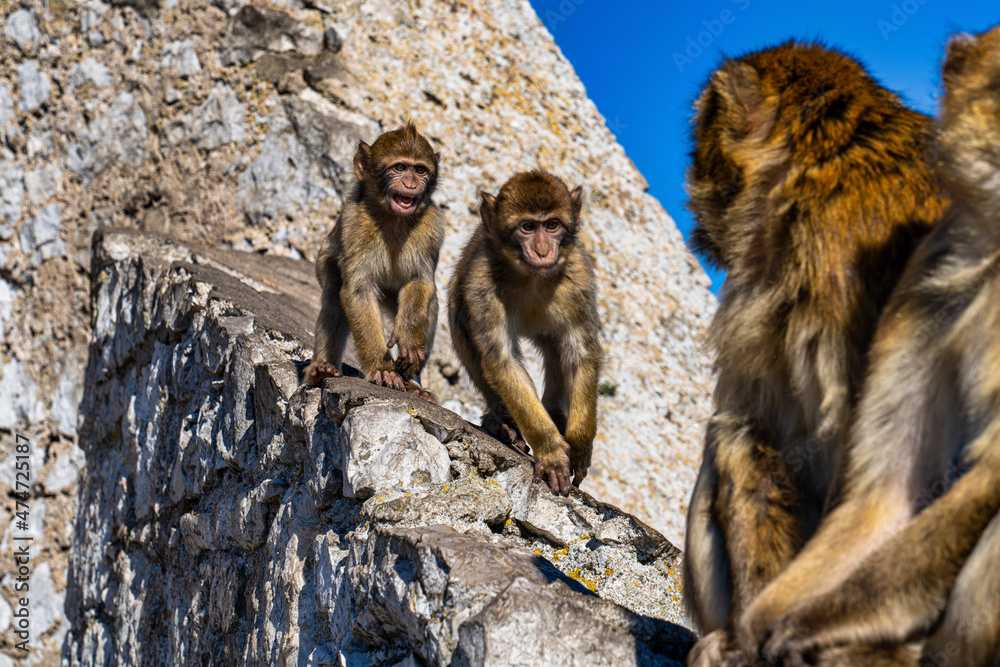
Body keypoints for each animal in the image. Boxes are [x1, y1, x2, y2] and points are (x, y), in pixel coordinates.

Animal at [303, 124, 445, 401]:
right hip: (325, 261)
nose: (411, 183)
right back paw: (322, 370)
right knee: (335, 297)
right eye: (399, 167)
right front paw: (383, 369)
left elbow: (419, 281)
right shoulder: (354, 224)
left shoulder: (432, 227)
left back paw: (415, 384)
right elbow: (358, 291)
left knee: (430, 303)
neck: (393, 219)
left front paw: (410, 340)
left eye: (420, 170)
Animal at [447, 171, 601, 496]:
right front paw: (551, 451)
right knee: (462, 326)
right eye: (528, 227)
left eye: (552, 225)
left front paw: (580, 446)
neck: (533, 278)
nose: (543, 251)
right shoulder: (482, 283)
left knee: (557, 348)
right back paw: (502, 422)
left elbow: (581, 353)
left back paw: (555, 415)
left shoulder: (579, 277)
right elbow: (502, 361)